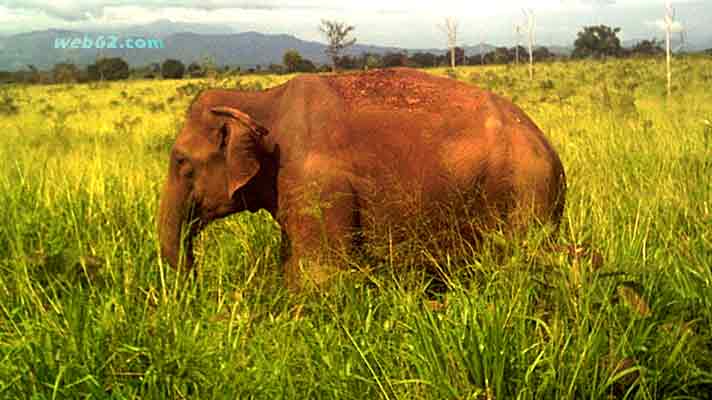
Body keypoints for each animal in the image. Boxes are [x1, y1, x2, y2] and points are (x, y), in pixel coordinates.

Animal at [157, 67, 568, 290]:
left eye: (181, 162)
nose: (196, 286)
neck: (260, 100)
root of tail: (548, 146)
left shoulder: (317, 182)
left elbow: (320, 274)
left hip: (525, 194)